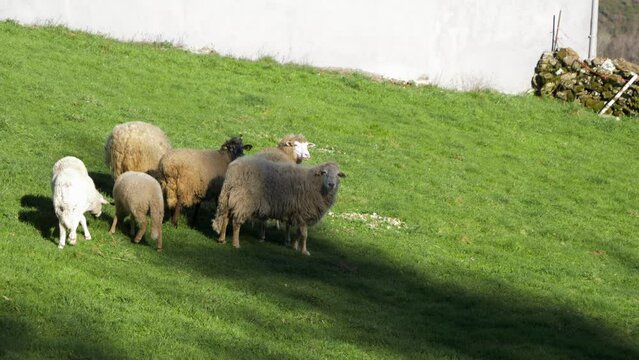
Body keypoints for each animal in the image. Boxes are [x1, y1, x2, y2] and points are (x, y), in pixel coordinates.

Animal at [212, 158, 344, 256]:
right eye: (324, 172)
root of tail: (232, 170)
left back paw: (222, 239)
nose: (331, 184)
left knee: (225, 219)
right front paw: (304, 251)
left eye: (338, 174)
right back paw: (236, 244)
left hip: (231, 198)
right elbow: (304, 235)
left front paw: (294, 246)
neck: (316, 184)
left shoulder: (299, 214)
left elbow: (298, 233)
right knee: (236, 223)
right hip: (244, 201)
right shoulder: (304, 213)